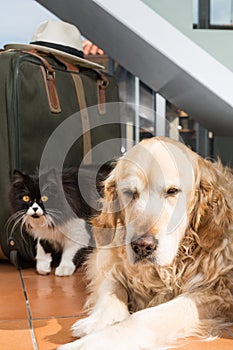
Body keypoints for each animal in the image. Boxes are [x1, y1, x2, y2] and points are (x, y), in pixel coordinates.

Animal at [59, 137, 233, 350]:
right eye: (129, 193)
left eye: (172, 191)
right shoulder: (108, 260)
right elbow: (112, 289)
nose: (142, 246)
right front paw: (97, 321)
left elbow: (144, 318)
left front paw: (90, 343)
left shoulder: (217, 293)